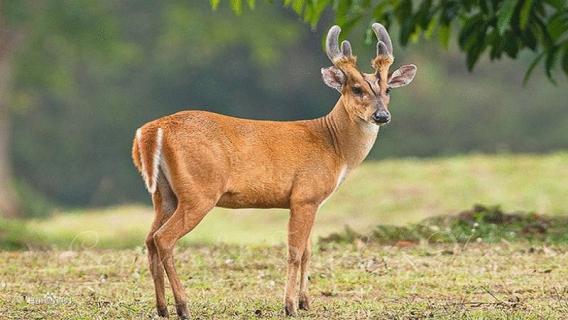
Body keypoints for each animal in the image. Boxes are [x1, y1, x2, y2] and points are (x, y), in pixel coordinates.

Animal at [133, 23, 418, 318]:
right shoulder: (304, 196)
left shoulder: (312, 202)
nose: (381, 116)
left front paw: (305, 302)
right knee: (163, 239)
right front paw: (290, 305)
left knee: (150, 239)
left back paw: (162, 308)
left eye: (388, 89)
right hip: (199, 192)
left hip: (164, 194)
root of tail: (152, 131)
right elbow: (295, 252)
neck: (333, 144)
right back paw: (183, 306)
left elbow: (307, 251)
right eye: (356, 88)